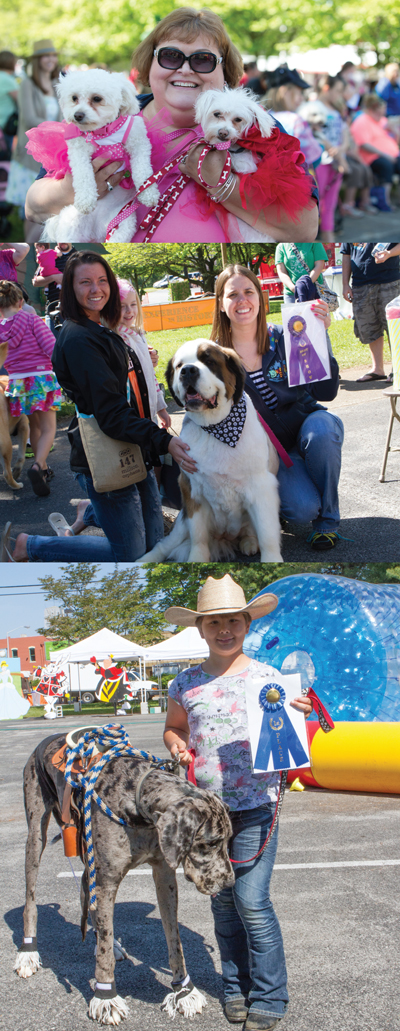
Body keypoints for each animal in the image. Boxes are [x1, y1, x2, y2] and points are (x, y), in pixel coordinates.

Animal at [14, 734, 234, 1022]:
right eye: (211, 843)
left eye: (228, 840)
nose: (230, 882)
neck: (137, 797)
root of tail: (48, 739)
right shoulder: (107, 881)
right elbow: (105, 950)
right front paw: (105, 997)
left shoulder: (164, 875)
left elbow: (174, 939)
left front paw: (184, 991)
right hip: (35, 833)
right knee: (30, 898)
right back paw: (28, 953)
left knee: (87, 893)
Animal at [32, 70, 158, 243]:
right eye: (74, 98)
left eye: (97, 99)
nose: (78, 115)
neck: (103, 131)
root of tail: (94, 231)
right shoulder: (78, 151)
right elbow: (84, 176)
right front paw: (86, 200)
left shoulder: (138, 143)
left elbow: (143, 171)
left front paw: (149, 193)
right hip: (70, 224)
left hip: (123, 219)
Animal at [139, 338, 282, 564]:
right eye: (179, 365)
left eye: (209, 361)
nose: (188, 371)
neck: (216, 426)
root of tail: (226, 538)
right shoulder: (191, 488)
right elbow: (199, 536)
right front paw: (196, 559)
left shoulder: (262, 488)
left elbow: (267, 532)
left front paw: (271, 560)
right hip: (181, 524)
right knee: (164, 545)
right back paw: (145, 559)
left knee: (252, 532)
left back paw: (249, 543)